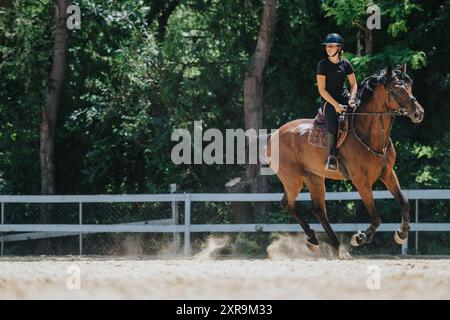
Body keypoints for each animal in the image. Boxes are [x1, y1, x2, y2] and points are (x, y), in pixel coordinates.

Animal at [268, 64, 426, 258]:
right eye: (397, 89)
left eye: (410, 86)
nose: (419, 113)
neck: (369, 134)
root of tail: (274, 134)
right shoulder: (361, 181)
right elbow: (376, 217)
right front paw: (360, 238)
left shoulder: (388, 174)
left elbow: (404, 203)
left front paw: (401, 234)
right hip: (293, 180)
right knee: (288, 204)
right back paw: (314, 239)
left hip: (314, 178)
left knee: (319, 210)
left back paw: (334, 246)